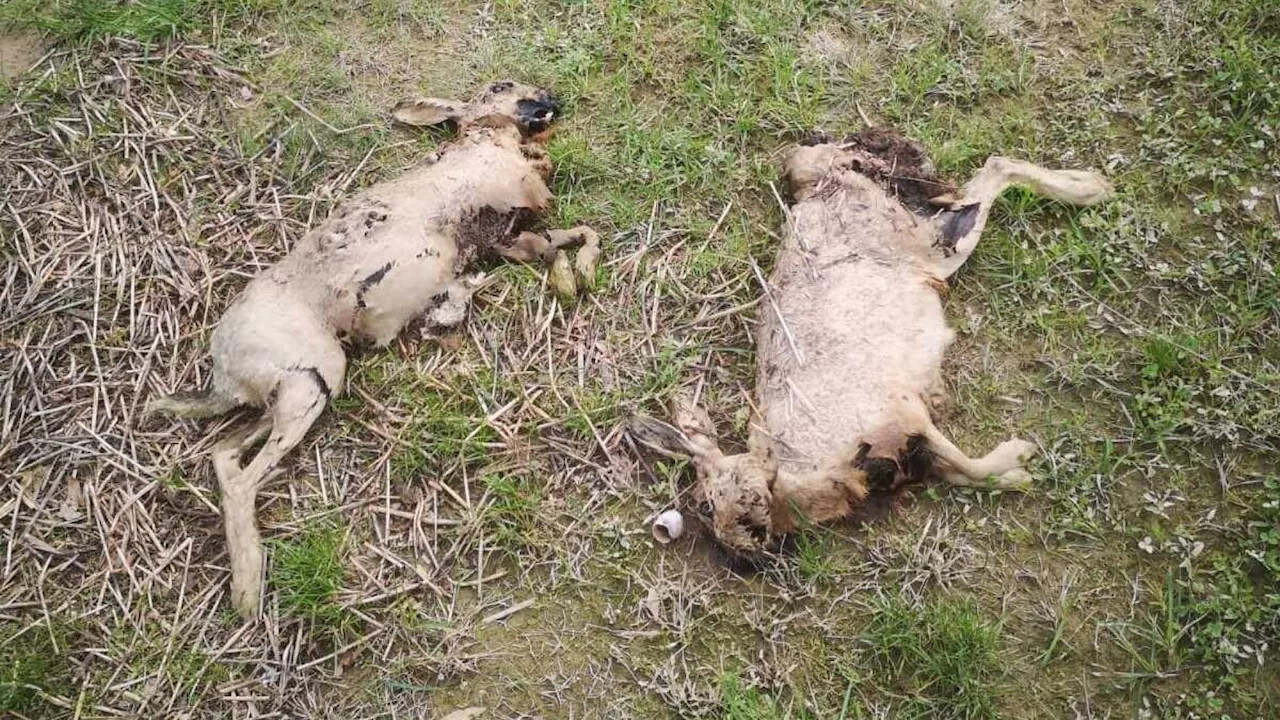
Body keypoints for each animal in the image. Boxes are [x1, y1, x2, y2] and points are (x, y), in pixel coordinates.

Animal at [152, 79, 601, 617]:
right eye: (500, 86)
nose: (550, 99)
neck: (485, 137)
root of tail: (223, 373)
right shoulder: (514, 198)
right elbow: (556, 231)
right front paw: (573, 278)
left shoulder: (507, 238)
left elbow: (571, 238)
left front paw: (577, 277)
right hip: (315, 378)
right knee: (243, 479)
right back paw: (249, 591)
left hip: (290, 391)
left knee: (224, 454)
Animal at [629, 127, 1111, 556]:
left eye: (715, 501)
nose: (748, 544)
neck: (784, 469)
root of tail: (817, 177)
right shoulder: (913, 445)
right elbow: (962, 472)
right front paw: (1018, 470)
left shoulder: (902, 419)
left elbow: (970, 463)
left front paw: (1021, 459)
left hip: (925, 245)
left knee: (995, 170)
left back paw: (1092, 187)